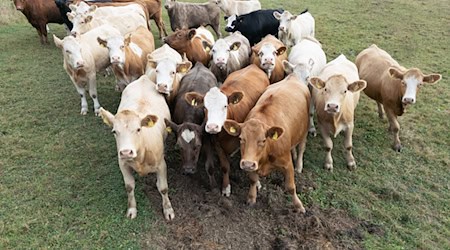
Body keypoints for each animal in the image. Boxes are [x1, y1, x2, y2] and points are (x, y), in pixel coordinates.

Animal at [99, 74, 175, 221]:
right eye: (114, 131)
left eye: (139, 129)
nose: (126, 152)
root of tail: (143, 78)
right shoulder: (122, 164)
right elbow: (129, 187)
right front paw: (131, 209)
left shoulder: (161, 165)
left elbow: (163, 188)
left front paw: (168, 209)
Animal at [185, 65, 268, 197]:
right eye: (204, 107)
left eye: (225, 106)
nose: (212, 127)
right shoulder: (217, 144)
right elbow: (225, 166)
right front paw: (225, 187)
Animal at [221, 73, 310, 212]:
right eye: (241, 139)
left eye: (263, 140)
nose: (247, 164)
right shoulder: (252, 161)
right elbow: (252, 180)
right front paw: (251, 199)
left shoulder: (287, 163)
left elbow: (290, 187)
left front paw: (299, 206)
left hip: (305, 131)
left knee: (301, 147)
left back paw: (299, 165)